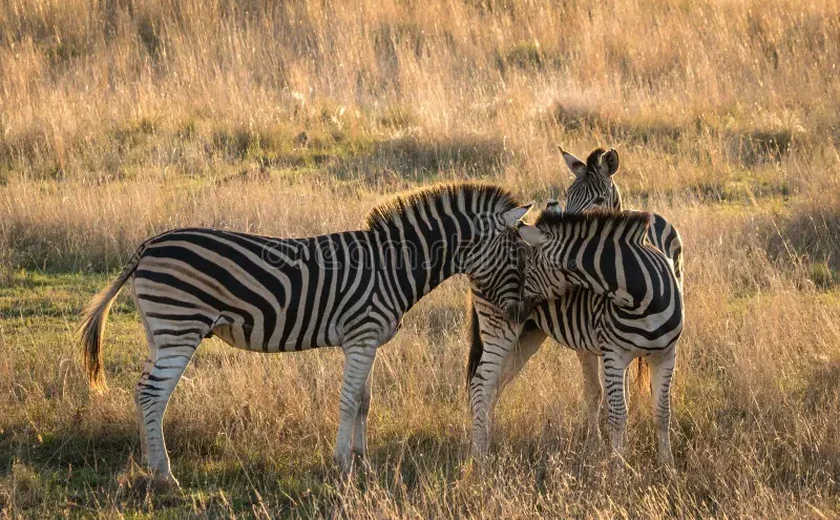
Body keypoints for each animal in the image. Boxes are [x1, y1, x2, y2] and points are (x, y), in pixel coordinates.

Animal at [79, 184, 532, 488]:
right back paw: (165, 474)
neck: (393, 266)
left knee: (142, 391)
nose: (518, 314)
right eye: (518, 257)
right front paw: (341, 464)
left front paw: (363, 461)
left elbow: (364, 401)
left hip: (159, 332)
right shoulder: (361, 336)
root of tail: (149, 245)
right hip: (179, 327)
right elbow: (348, 401)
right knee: (153, 394)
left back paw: (148, 462)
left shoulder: (367, 342)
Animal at [466, 146, 684, 460]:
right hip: (502, 329)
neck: (643, 301)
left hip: (528, 334)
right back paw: (480, 452)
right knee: (482, 384)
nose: (558, 218)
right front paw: (610, 458)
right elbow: (604, 401)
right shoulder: (600, 345)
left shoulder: (665, 352)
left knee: (495, 383)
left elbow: (660, 410)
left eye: (599, 199)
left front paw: (666, 464)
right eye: (568, 195)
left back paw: (487, 441)